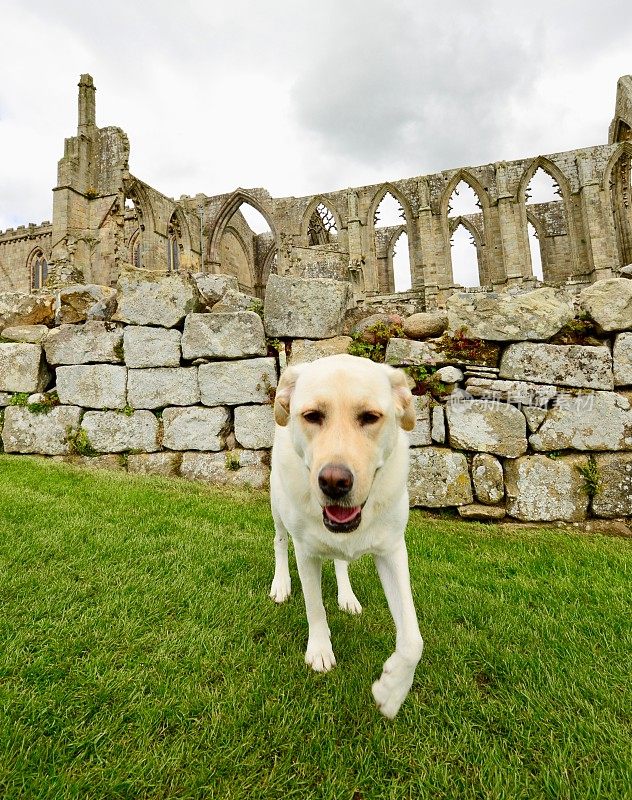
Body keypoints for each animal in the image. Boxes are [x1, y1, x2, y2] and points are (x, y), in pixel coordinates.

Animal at [268, 354, 422, 716]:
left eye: (370, 417)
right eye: (312, 416)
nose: (334, 482)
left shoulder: (394, 550)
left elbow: (413, 639)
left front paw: (392, 690)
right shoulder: (305, 552)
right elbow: (314, 607)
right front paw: (320, 651)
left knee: (341, 561)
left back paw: (347, 596)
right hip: (277, 504)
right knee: (279, 542)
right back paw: (281, 583)